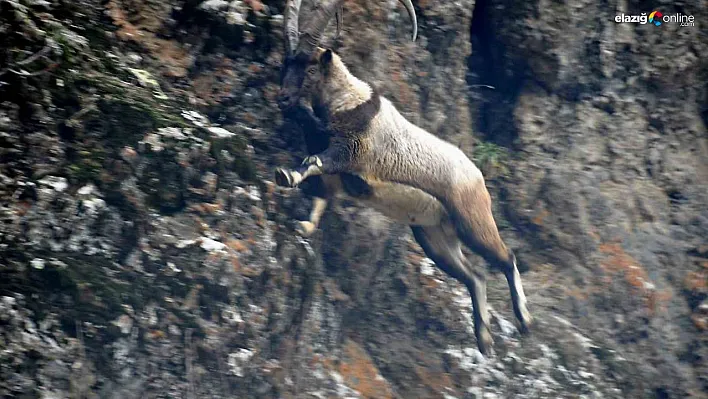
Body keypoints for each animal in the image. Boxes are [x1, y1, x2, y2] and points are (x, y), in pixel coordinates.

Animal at [276, 0, 532, 356]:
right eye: (286, 63)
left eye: (311, 69)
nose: (283, 98)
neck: (348, 104)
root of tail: (477, 177)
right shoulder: (336, 174)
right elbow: (322, 196)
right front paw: (304, 225)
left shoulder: (350, 152)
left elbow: (315, 163)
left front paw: (285, 175)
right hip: (433, 235)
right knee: (473, 277)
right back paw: (484, 340)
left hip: (471, 219)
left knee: (506, 257)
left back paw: (524, 320)